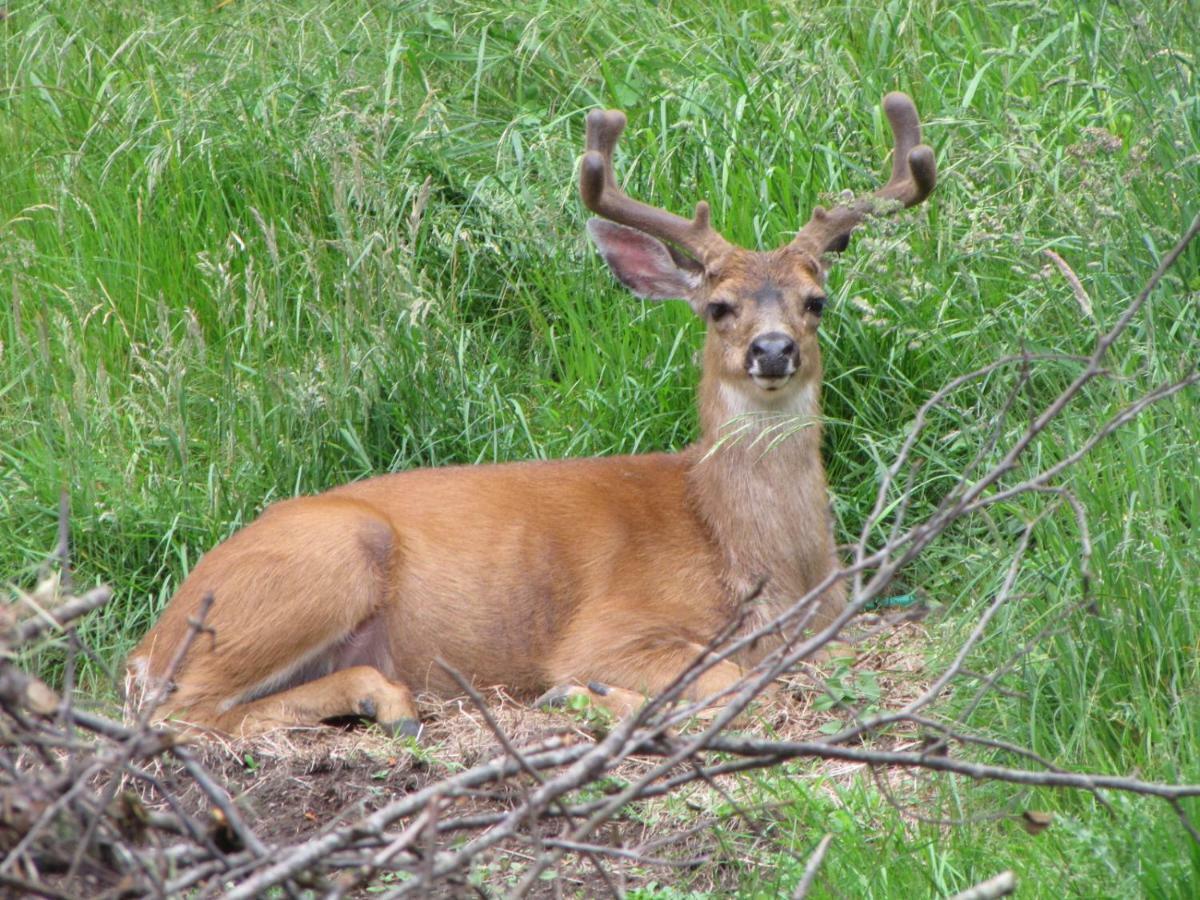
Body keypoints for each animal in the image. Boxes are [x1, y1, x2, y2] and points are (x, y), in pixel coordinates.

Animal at [129, 93, 936, 739]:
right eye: (718, 306)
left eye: (815, 300)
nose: (773, 350)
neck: (756, 559)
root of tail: (150, 639)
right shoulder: (605, 629)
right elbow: (730, 680)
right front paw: (586, 695)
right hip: (321, 562)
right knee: (176, 712)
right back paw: (389, 702)